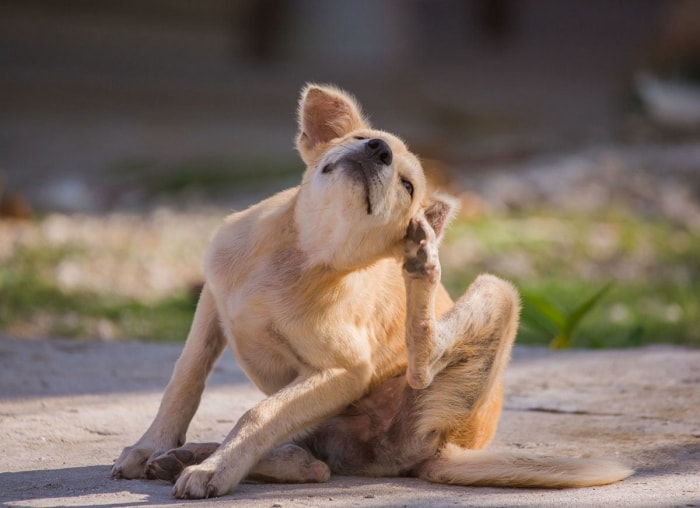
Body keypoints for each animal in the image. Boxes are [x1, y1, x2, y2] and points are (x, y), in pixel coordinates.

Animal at [110, 85, 636, 498]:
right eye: (362, 140)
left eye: (407, 185)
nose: (378, 150)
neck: (301, 255)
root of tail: (447, 447)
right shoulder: (212, 304)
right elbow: (185, 379)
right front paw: (152, 446)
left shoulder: (344, 370)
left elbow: (258, 414)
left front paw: (215, 470)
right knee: (312, 459)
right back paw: (187, 455)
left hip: (494, 298)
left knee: (386, 396)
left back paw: (422, 266)